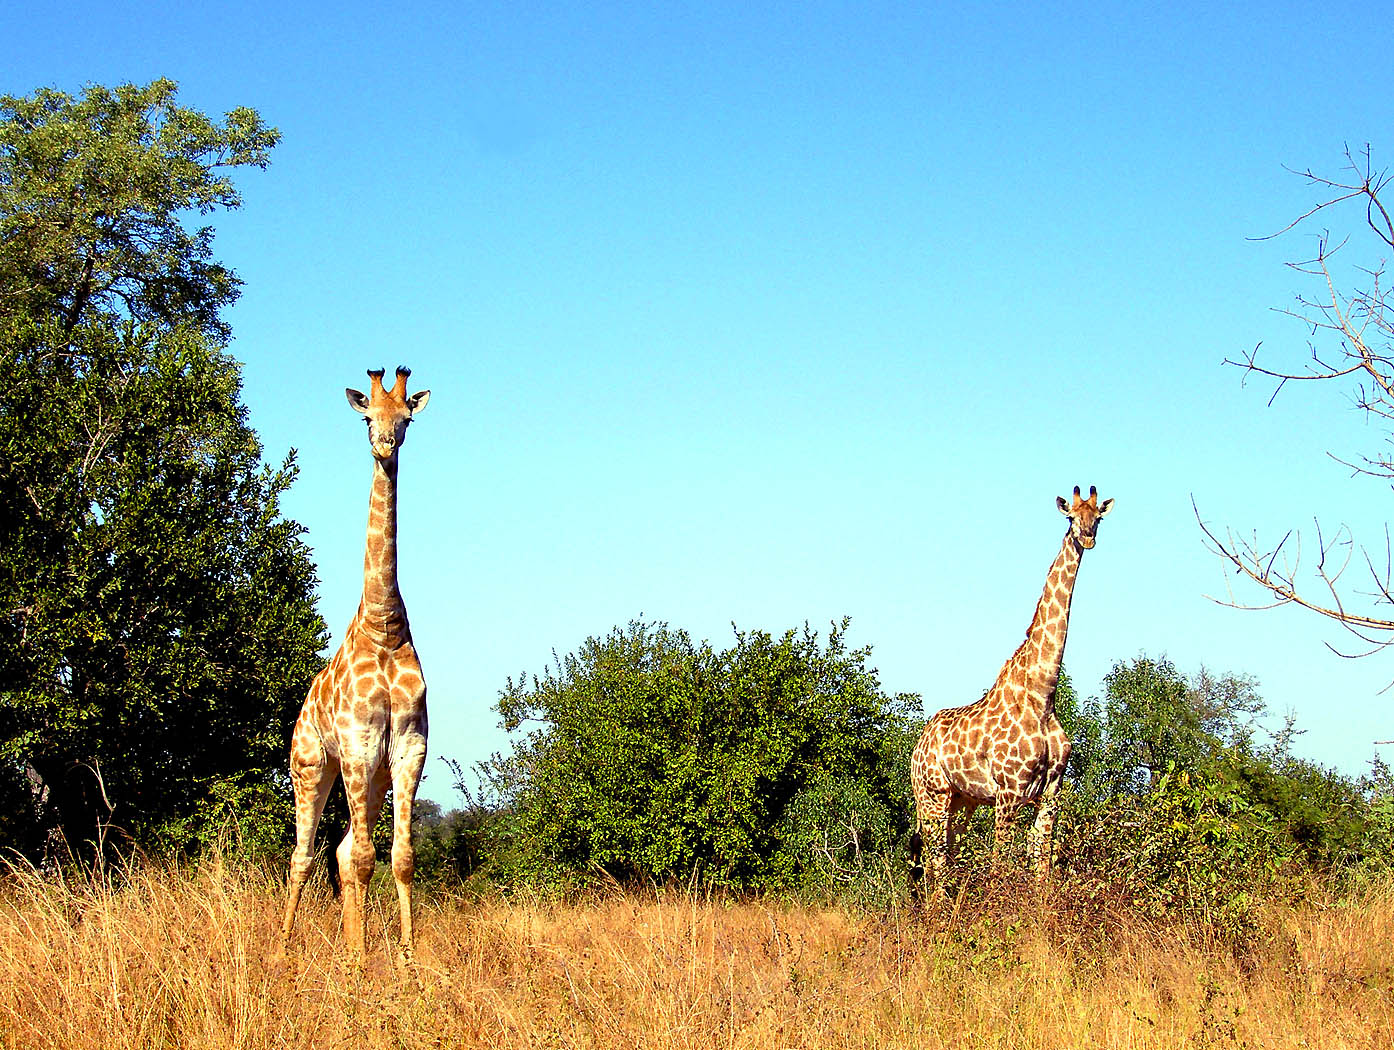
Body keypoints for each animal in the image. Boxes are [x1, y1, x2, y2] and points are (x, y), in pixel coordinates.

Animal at [277, 366, 431, 964]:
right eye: (368, 418)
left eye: (405, 417)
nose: (385, 444)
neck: (383, 627)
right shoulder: (359, 742)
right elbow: (367, 858)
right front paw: (364, 962)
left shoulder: (409, 746)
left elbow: (400, 857)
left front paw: (407, 960)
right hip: (313, 766)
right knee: (303, 855)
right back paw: (283, 950)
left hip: (372, 775)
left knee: (341, 850)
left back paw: (348, 945)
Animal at [908, 485, 1113, 892]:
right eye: (1071, 517)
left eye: (1098, 516)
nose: (1087, 537)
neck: (1043, 696)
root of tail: (917, 747)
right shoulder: (1008, 792)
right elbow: (1000, 863)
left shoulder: (1050, 794)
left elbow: (1042, 868)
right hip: (932, 795)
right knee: (933, 862)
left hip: (962, 801)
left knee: (947, 857)